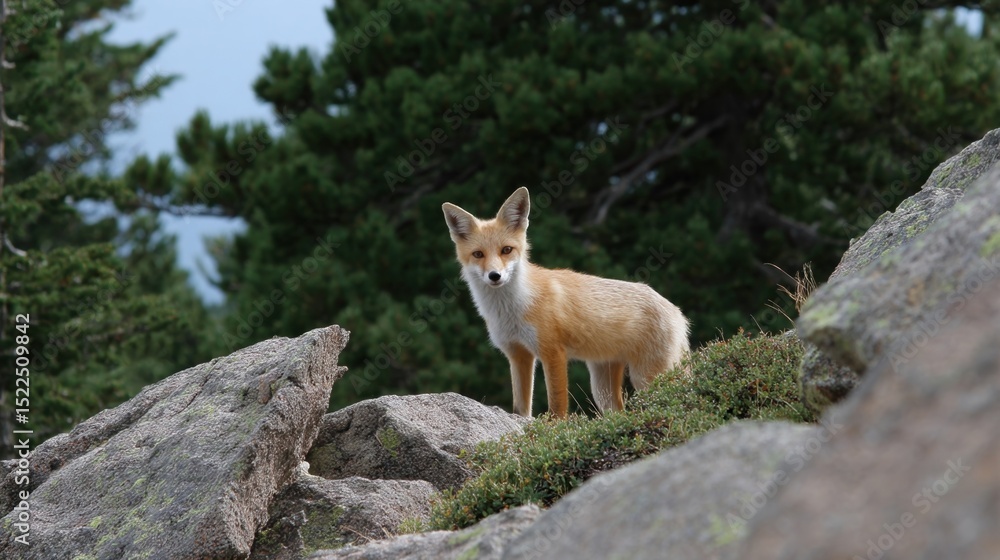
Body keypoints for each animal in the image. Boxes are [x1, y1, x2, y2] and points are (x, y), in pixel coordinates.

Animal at [442, 187, 690, 418]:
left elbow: (557, 407)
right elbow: (521, 408)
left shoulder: (553, 353)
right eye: (478, 254)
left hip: (645, 378)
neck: (512, 308)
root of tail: (676, 311)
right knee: (618, 413)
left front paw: (553, 427)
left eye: (506, 250)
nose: (495, 276)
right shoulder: (518, 354)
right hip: (602, 390)